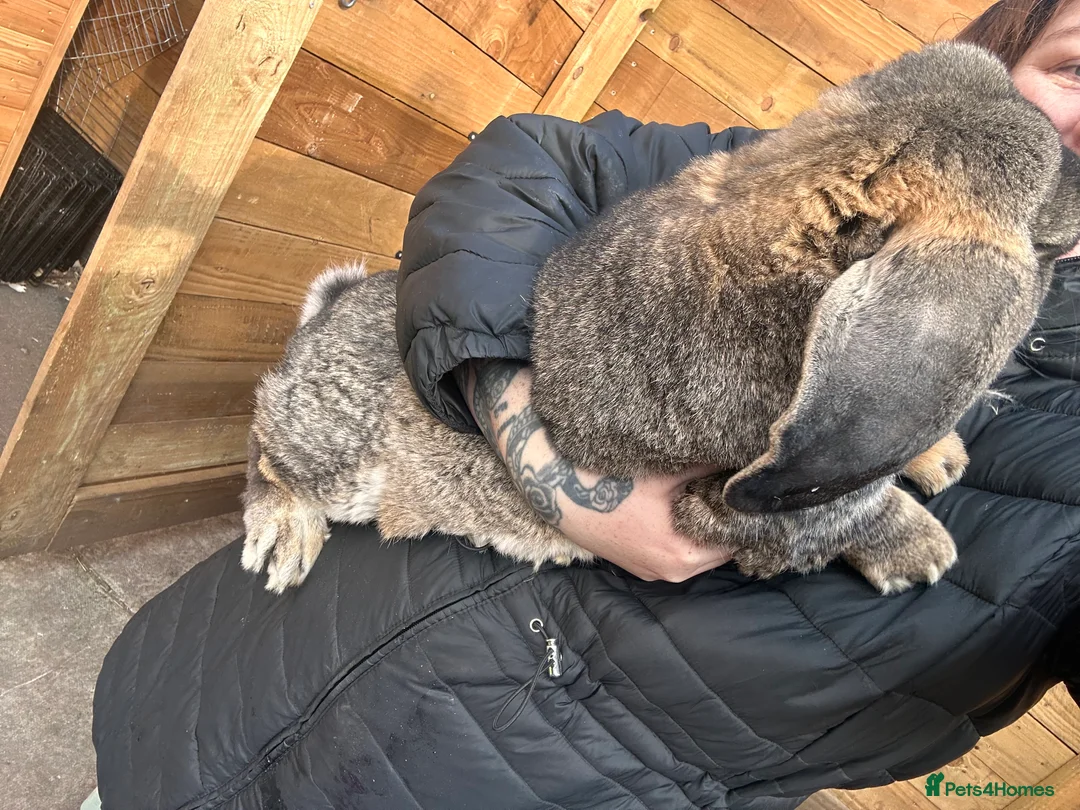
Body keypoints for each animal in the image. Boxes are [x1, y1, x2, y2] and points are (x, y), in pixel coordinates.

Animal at [241, 41, 1080, 595]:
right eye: (1044, 240)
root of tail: (323, 320)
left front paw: (938, 457)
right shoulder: (737, 505)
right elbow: (850, 515)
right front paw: (921, 550)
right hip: (326, 447)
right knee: (266, 451)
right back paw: (283, 540)